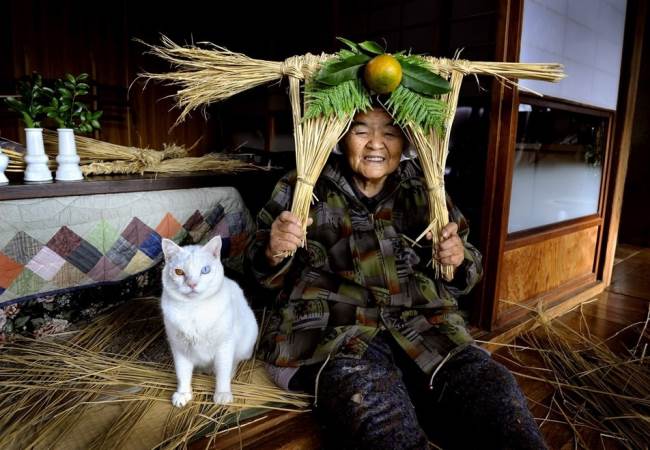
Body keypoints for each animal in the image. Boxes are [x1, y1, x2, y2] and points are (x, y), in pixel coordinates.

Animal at [159, 236, 258, 408]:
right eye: (179, 272)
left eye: (205, 270)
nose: (192, 284)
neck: (193, 309)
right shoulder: (179, 348)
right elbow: (182, 374)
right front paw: (183, 394)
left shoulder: (224, 346)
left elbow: (223, 372)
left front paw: (222, 393)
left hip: (246, 344)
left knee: (234, 362)